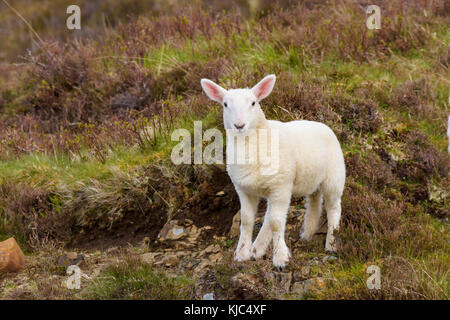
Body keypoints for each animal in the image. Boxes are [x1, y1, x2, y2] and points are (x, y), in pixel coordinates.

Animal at [200, 74, 344, 268]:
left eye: (253, 103)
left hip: (332, 178)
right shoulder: (244, 190)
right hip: (306, 180)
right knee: (312, 202)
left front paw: (281, 258)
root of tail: (322, 125)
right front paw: (242, 253)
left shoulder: (280, 187)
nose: (239, 125)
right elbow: (246, 221)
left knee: (333, 207)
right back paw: (300, 235)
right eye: (225, 104)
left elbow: (276, 223)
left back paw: (331, 242)